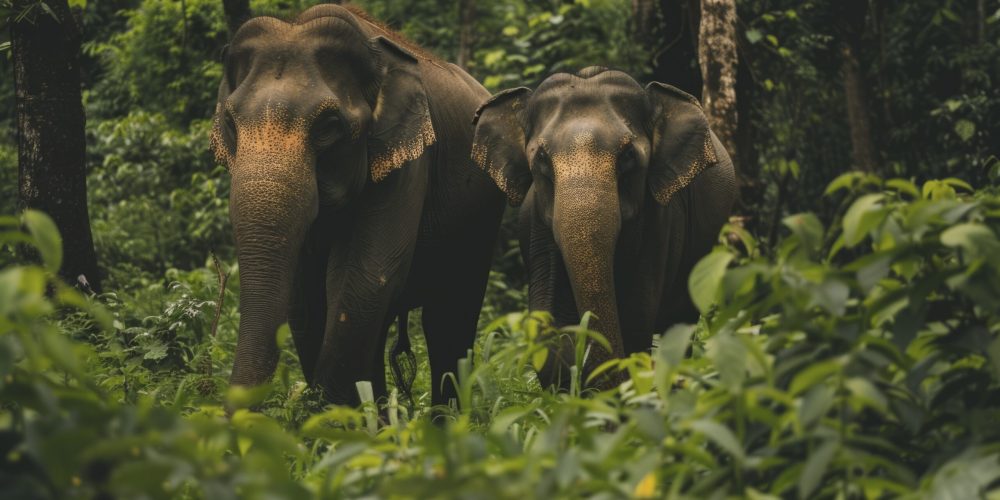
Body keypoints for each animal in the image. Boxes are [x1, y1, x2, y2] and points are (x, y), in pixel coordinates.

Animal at [210, 4, 504, 406]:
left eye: (328, 125)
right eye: (229, 122)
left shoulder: (408, 158)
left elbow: (366, 275)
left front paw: (334, 415)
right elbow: (305, 297)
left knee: (449, 315)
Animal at [471, 67, 736, 387]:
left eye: (628, 155)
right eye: (541, 158)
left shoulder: (661, 221)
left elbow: (636, 316)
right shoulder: (538, 228)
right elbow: (551, 324)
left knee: (680, 322)